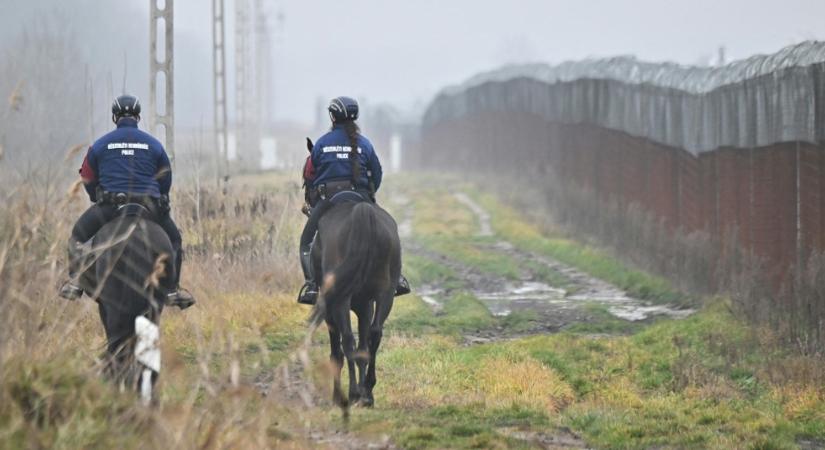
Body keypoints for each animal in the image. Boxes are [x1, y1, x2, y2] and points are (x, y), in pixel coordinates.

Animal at [308, 199, 400, 414]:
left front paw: (338, 396)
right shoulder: (366, 306)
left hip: (340, 301)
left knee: (348, 341)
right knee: (374, 334)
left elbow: (337, 353)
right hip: (385, 293)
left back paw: (353, 394)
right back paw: (366, 393)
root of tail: (362, 211)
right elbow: (363, 348)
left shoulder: (331, 309)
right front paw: (365, 393)